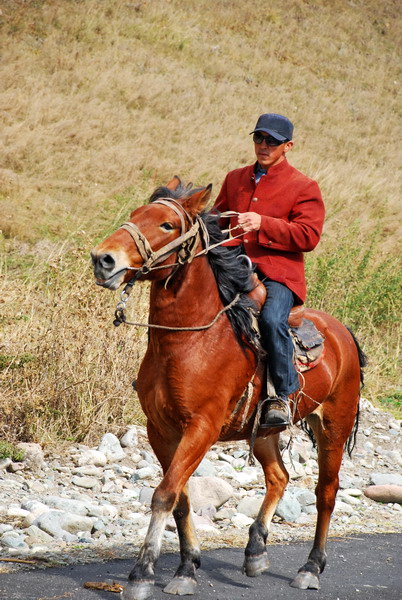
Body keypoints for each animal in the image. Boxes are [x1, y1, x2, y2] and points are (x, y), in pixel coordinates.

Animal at [92, 178, 368, 600]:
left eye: (168, 224)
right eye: (136, 214)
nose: (103, 259)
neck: (189, 341)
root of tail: (343, 333)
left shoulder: (201, 428)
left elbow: (164, 494)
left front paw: (142, 573)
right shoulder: (161, 430)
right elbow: (180, 499)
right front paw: (187, 567)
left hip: (333, 425)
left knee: (326, 492)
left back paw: (310, 568)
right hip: (265, 432)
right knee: (279, 477)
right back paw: (255, 550)